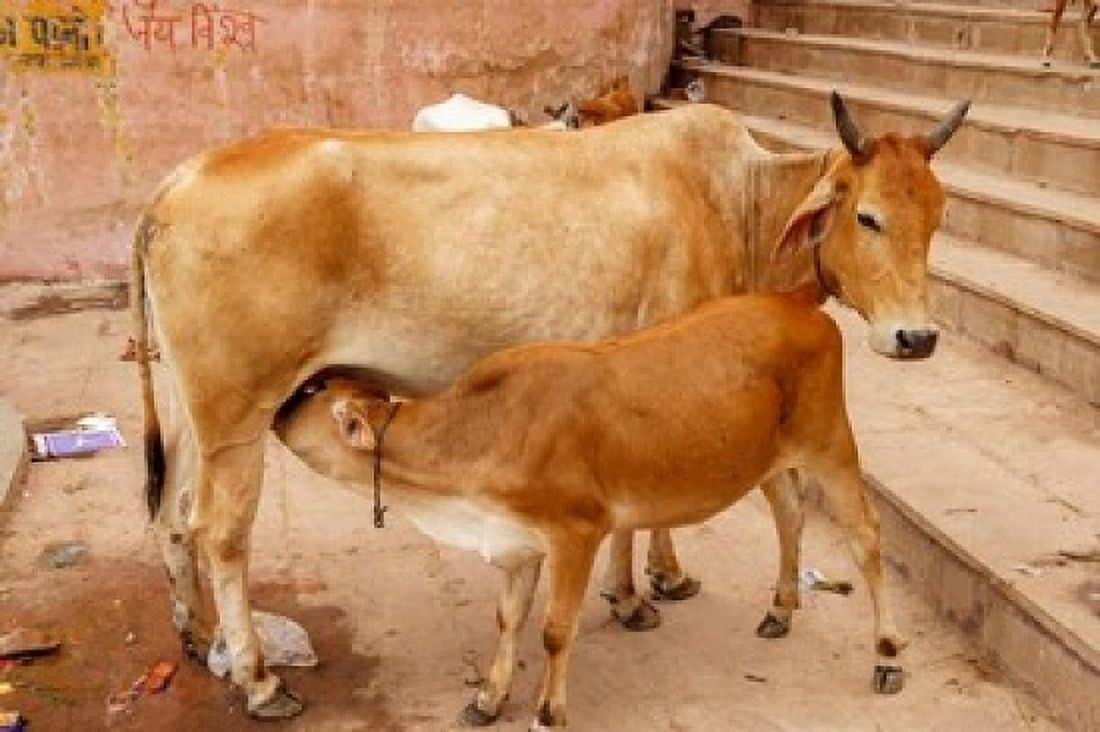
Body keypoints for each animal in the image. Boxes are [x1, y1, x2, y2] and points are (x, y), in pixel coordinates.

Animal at [270, 285, 905, 728]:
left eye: (310, 391)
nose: (273, 407)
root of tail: (796, 302)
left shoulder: (577, 532)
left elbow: (555, 630)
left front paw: (547, 713)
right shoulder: (518, 541)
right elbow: (507, 618)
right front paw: (489, 698)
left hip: (831, 445)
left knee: (867, 538)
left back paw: (887, 657)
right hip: (768, 461)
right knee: (790, 513)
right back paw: (780, 609)